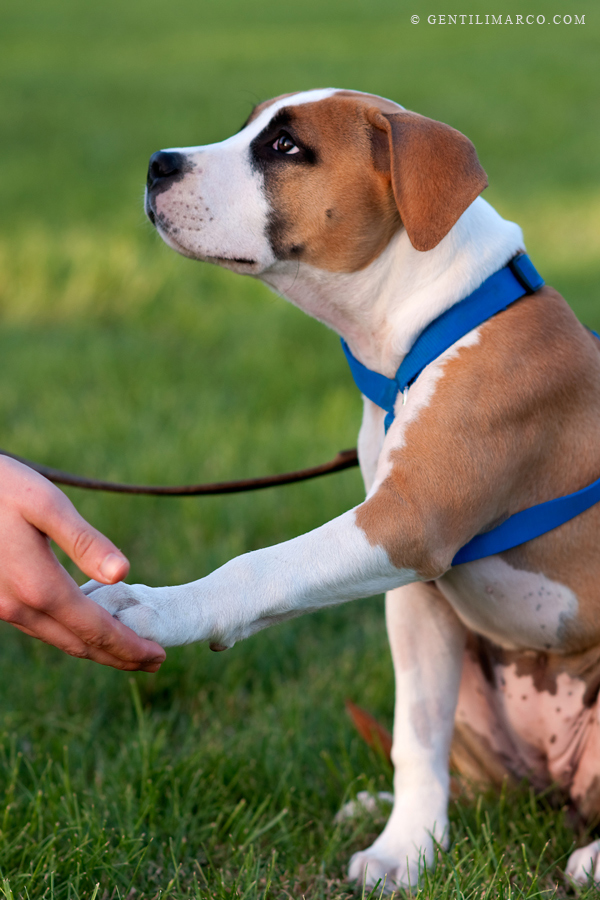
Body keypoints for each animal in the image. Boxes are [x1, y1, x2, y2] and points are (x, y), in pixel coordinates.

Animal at [84, 89, 600, 889]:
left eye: (286, 147)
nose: (157, 164)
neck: (424, 327)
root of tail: (558, 787)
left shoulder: (406, 522)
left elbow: (261, 567)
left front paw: (154, 608)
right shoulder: (419, 592)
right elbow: (416, 731)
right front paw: (407, 849)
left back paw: (594, 857)